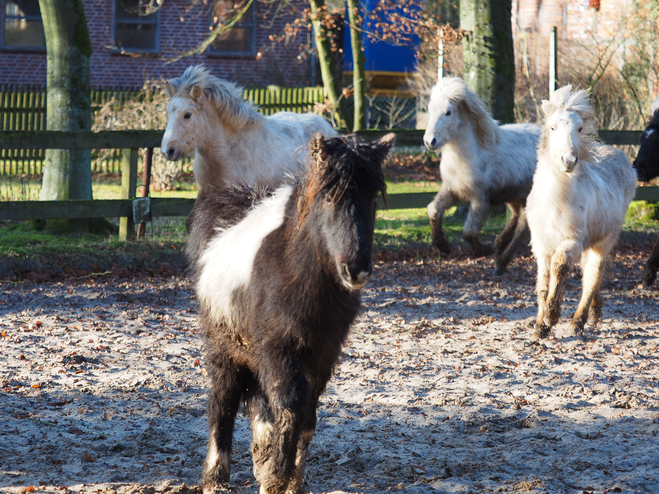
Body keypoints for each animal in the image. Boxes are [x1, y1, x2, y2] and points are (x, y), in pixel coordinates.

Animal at [186, 132, 394, 494]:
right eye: (328, 198)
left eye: (371, 200)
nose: (355, 269)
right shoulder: (279, 347)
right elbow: (289, 405)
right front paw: (277, 475)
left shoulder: (323, 353)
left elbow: (306, 414)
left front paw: (286, 477)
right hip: (224, 348)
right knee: (223, 402)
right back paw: (216, 479)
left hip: (254, 351)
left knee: (257, 400)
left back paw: (260, 455)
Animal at [422, 77, 540, 274]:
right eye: (430, 109)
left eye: (448, 112)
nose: (430, 141)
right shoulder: (451, 190)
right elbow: (433, 210)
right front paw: (443, 245)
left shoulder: (479, 199)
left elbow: (469, 231)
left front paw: (483, 249)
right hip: (515, 195)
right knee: (518, 218)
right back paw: (499, 247)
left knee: (524, 224)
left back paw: (500, 261)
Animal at [528, 86, 636, 340]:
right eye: (552, 127)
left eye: (579, 128)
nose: (568, 160)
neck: (555, 200)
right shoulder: (540, 245)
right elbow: (543, 284)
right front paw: (539, 328)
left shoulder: (572, 241)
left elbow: (559, 267)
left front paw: (551, 316)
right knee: (589, 272)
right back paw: (595, 312)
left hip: (604, 240)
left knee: (593, 276)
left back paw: (578, 322)